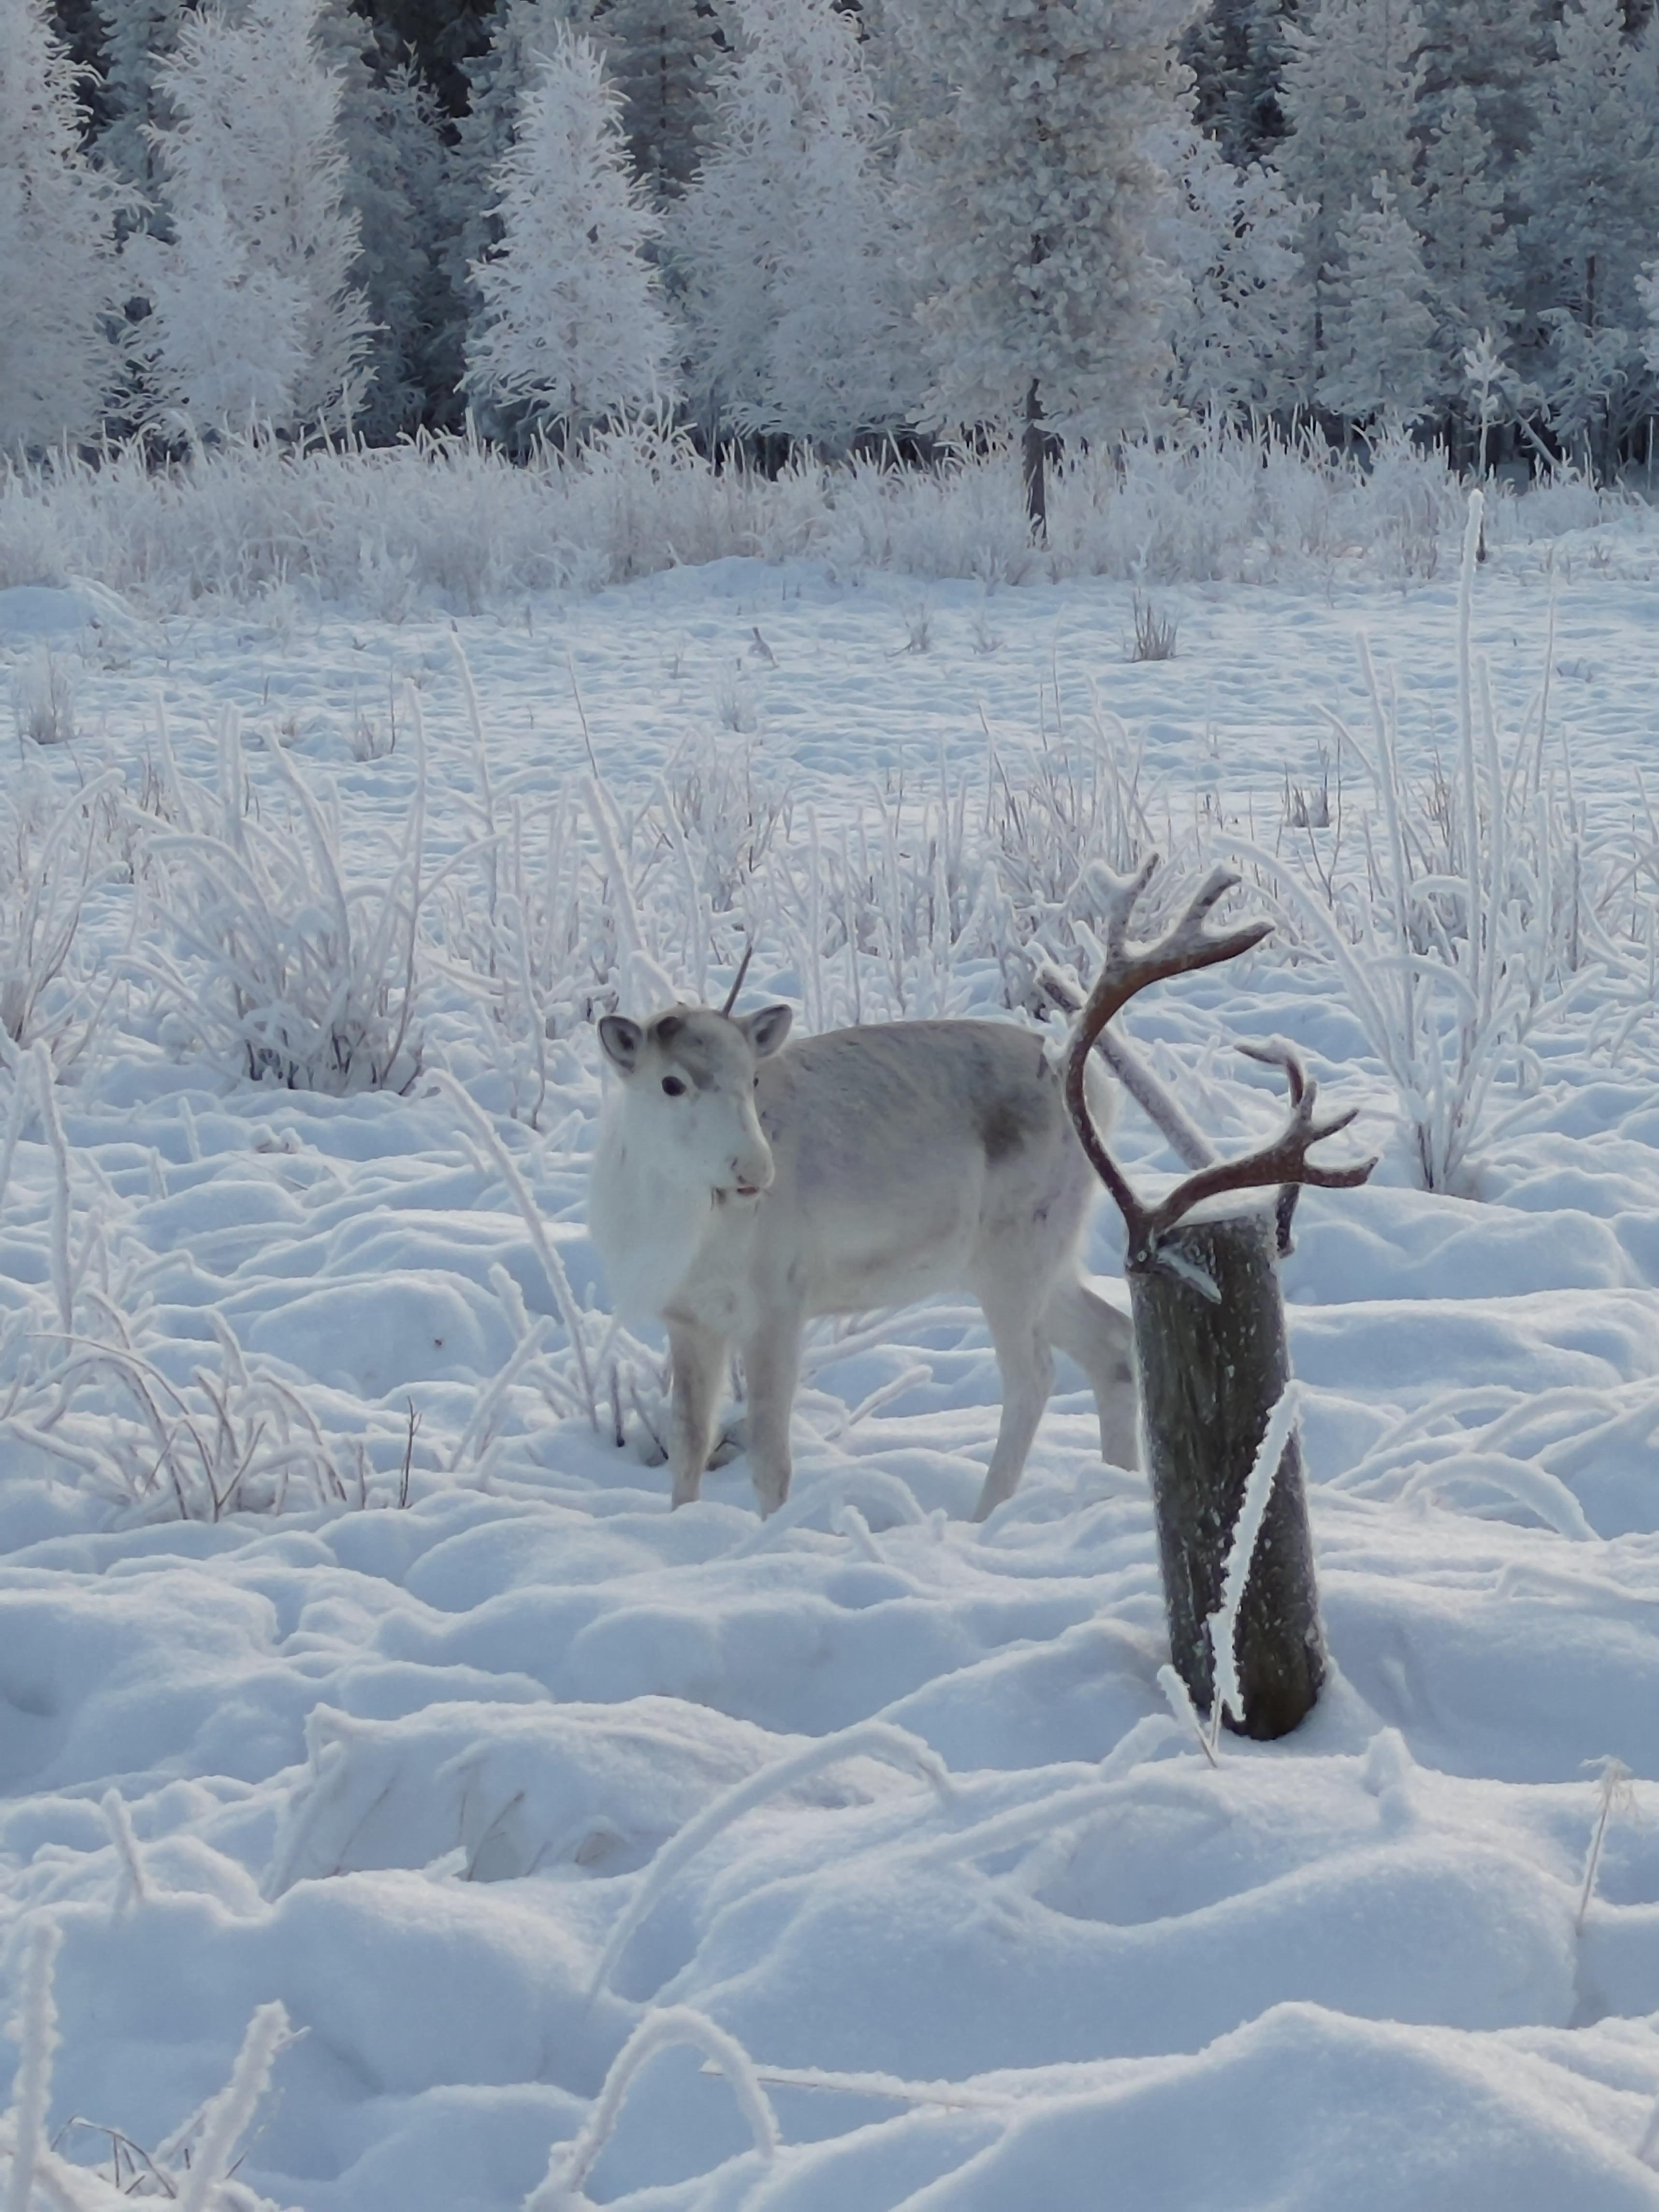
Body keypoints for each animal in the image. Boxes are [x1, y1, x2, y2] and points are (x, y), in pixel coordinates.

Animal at [587, 964, 1139, 1522]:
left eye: (752, 1078)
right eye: (671, 1083)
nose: (755, 1170)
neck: (678, 1221)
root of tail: (1095, 1089)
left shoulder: (776, 1311)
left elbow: (769, 1459)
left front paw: (774, 1532)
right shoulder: (689, 1321)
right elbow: (688, 1445)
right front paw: (683, 1519)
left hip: (1016, 1262)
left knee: (1034, 1378)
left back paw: (986, 1514)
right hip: (1040, 1264)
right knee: (1112, 1342)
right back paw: (1117, 1486)